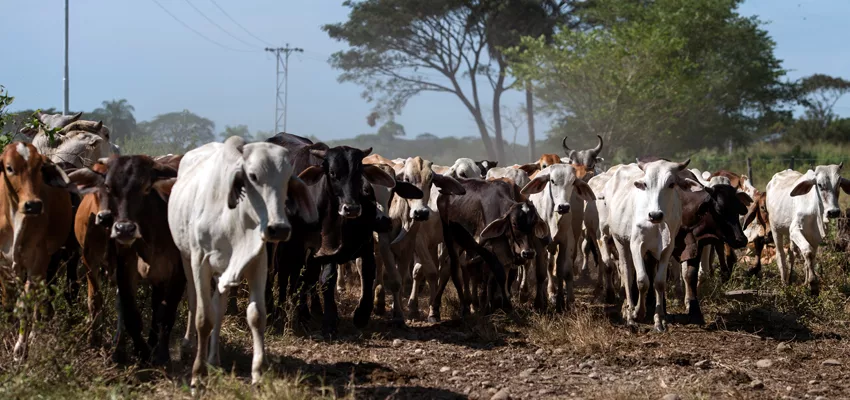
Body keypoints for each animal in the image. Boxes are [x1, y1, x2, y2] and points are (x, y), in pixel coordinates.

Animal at [0, 142, 73, 360]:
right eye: (9, 167)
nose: (33, 205)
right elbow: (8, 301)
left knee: (41, 296)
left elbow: (24, 303)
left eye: (39, 168)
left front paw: (19, 349)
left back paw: (34, 334)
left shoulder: (37, 262)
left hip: (52, 261)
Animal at [169, 137, 318, 388]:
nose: (279, 229)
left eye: (287, 178)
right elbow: (203, 318)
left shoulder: (257, 263)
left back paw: (214, 359)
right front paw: (198, 374)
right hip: (186, 257)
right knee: (193, 299)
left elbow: (256, 316)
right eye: (253, 176)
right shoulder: (200, 262)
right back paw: (188, 346)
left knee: (218, 308)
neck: (235, 221)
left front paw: (258, 372)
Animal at [520, 162, 592, 310]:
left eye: (572, 182)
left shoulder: (566, 241)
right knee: (545, 265)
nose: (563, 207)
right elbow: (541, 273)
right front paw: (539, 303)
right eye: (552, 181)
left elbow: (563, 271)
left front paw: (562, 302)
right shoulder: (538, 242)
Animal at [600, 158, 700, 330]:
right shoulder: (636, 245)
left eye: (671, 184)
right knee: (626, 273)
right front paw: (637, 313)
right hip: (620, 241)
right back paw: (629, 314)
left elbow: (659, 282)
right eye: (645, 184)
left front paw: (659, 320)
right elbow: (642, 281)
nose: (655, 215)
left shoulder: (667, 249)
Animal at [764, 165, 844, 294]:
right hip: (775, 229)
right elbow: (808, 251)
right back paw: (784, 283)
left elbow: (810, 258)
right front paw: (812, 282)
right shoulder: (794, 229)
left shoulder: (815, 236)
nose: (833, 212)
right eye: (819, 184)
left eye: (839, 183)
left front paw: (807, 282)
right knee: (780, 255)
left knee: (791, 254)